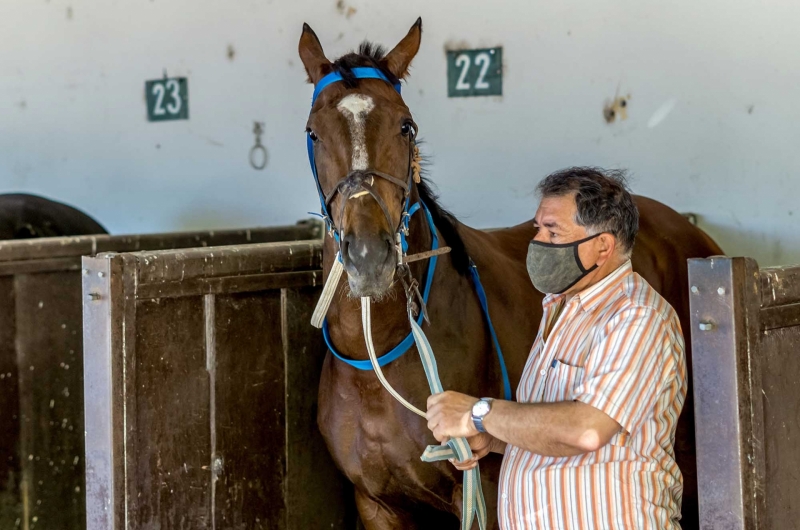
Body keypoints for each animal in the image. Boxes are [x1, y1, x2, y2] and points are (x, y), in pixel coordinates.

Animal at [298, 18, 720, 524]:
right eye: (313, 133)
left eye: (406, 126)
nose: (368, 255)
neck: (380, 357)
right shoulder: (375, 503)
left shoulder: (483, 487)